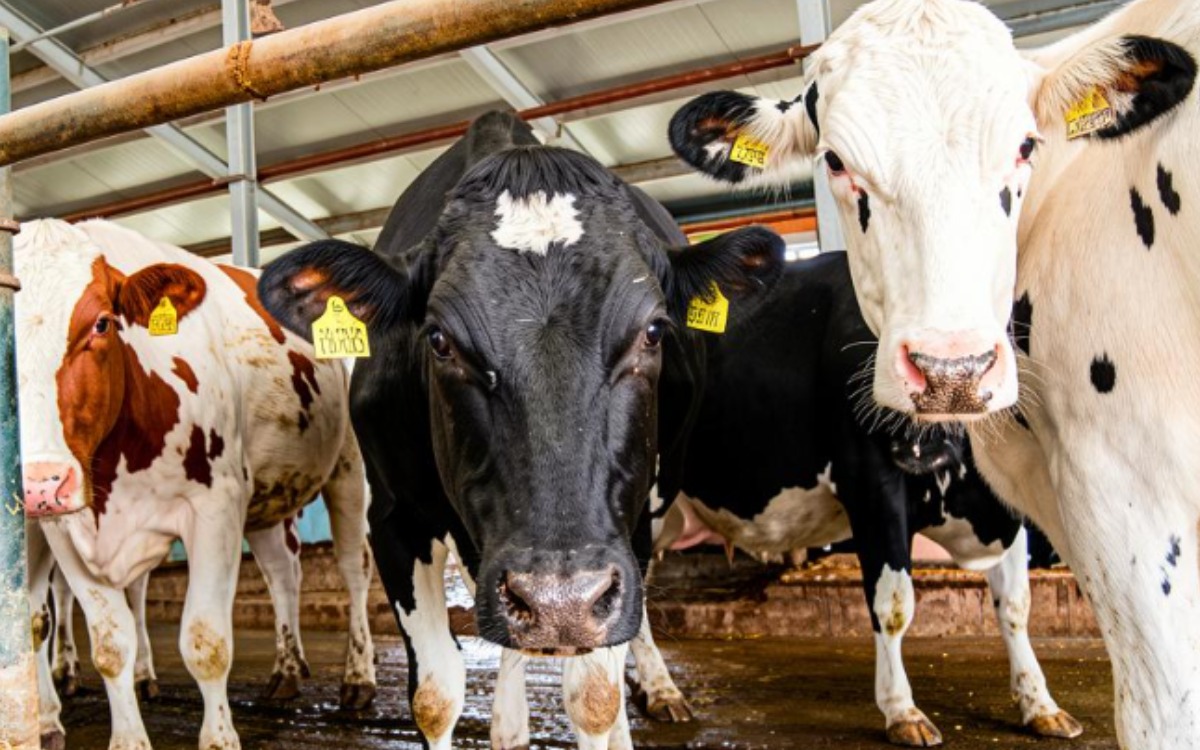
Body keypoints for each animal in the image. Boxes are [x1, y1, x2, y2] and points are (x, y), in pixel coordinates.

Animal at [15, 218, 377, 750]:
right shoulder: (67, 529)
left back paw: (358, 678)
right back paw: (286, 669)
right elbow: (109, 642)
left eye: (101, 323)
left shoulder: (216, 508)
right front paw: (125, 737)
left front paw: (219, 738)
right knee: (281, 571)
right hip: (265, 496)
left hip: (347, 469)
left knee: (354, 567)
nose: (41, 485)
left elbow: (206, 642)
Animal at [257, 110, 784, 749]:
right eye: (438, 339)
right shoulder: (394, 517)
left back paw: (656, 688)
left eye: (655, 330)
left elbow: (595, 696)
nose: (558, 601)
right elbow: (435, 695)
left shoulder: (619, 534)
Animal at [667, 0, 1200, 746]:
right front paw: (902, 710)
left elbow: (1014, 604)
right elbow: (893, 602)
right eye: (835, 160)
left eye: (1026, 146)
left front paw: (1038, 701)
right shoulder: (881, 478)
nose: (952, 369)